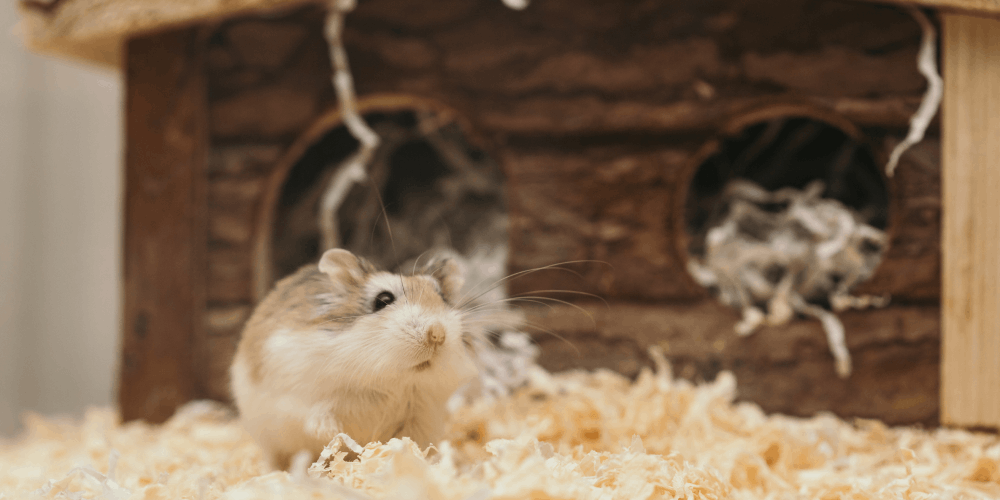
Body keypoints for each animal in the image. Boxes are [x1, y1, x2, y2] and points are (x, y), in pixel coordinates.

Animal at [230, 248, 479, 470]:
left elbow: (409, 444)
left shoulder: (421, 417)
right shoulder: (306, 400)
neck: (393, 381)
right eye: (383, 300)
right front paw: (343, 440)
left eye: (442, 298)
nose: (437, 334)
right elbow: (320, 423)